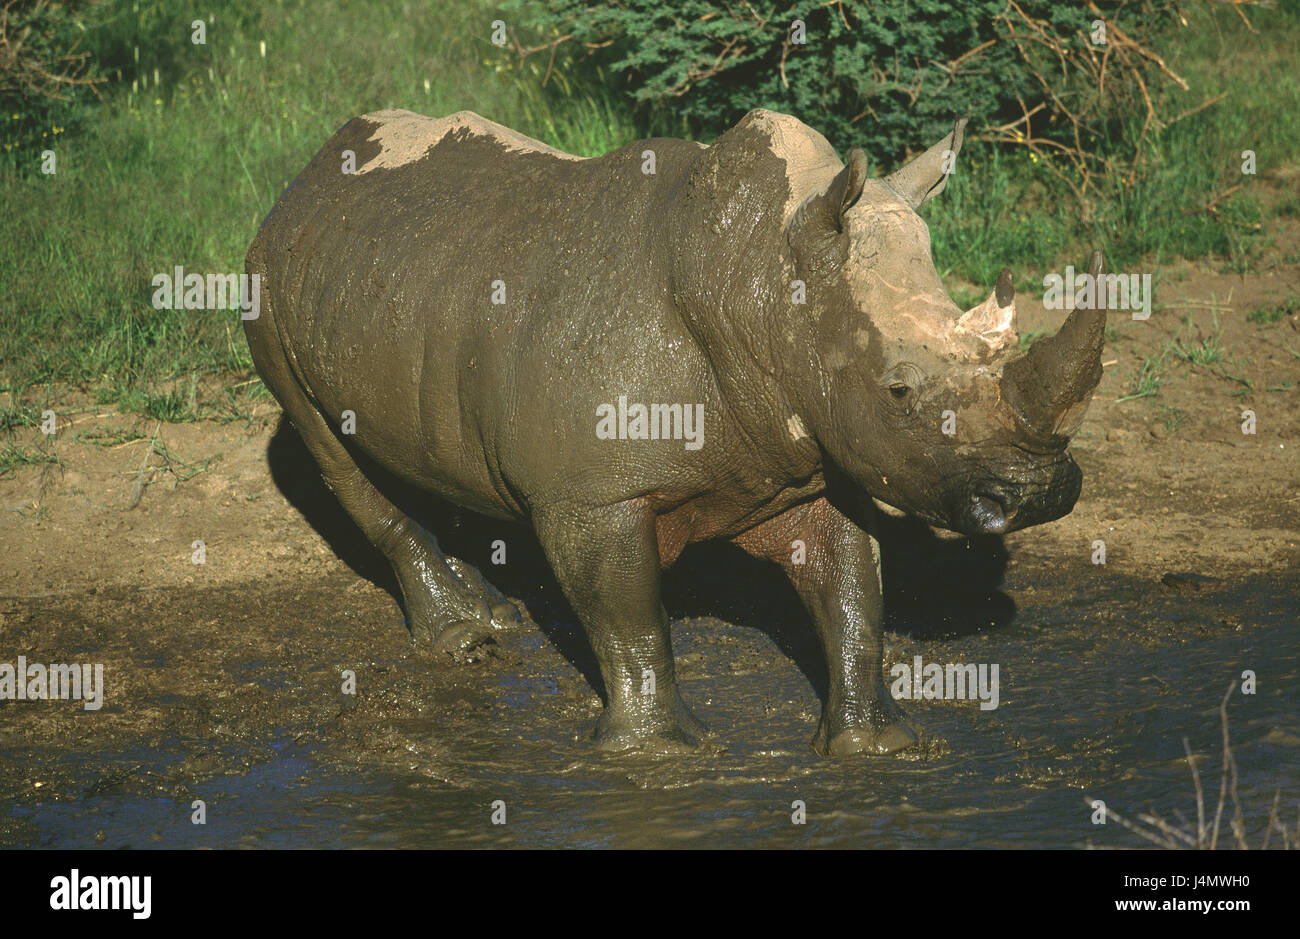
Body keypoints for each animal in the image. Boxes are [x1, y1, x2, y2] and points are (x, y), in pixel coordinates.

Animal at [244, 107, 1105, 756]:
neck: (761, 282)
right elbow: (627, 617)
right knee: (332, 450)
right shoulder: (592, 496)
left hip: (394, 283)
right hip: (264, 285)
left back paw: (484, 613)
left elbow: (854, 591)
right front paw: (662, 753)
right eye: (898, 389)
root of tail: (306, 176)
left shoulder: (817, 452)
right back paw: (468, 641)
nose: (1038, 493)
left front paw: (876, 744)